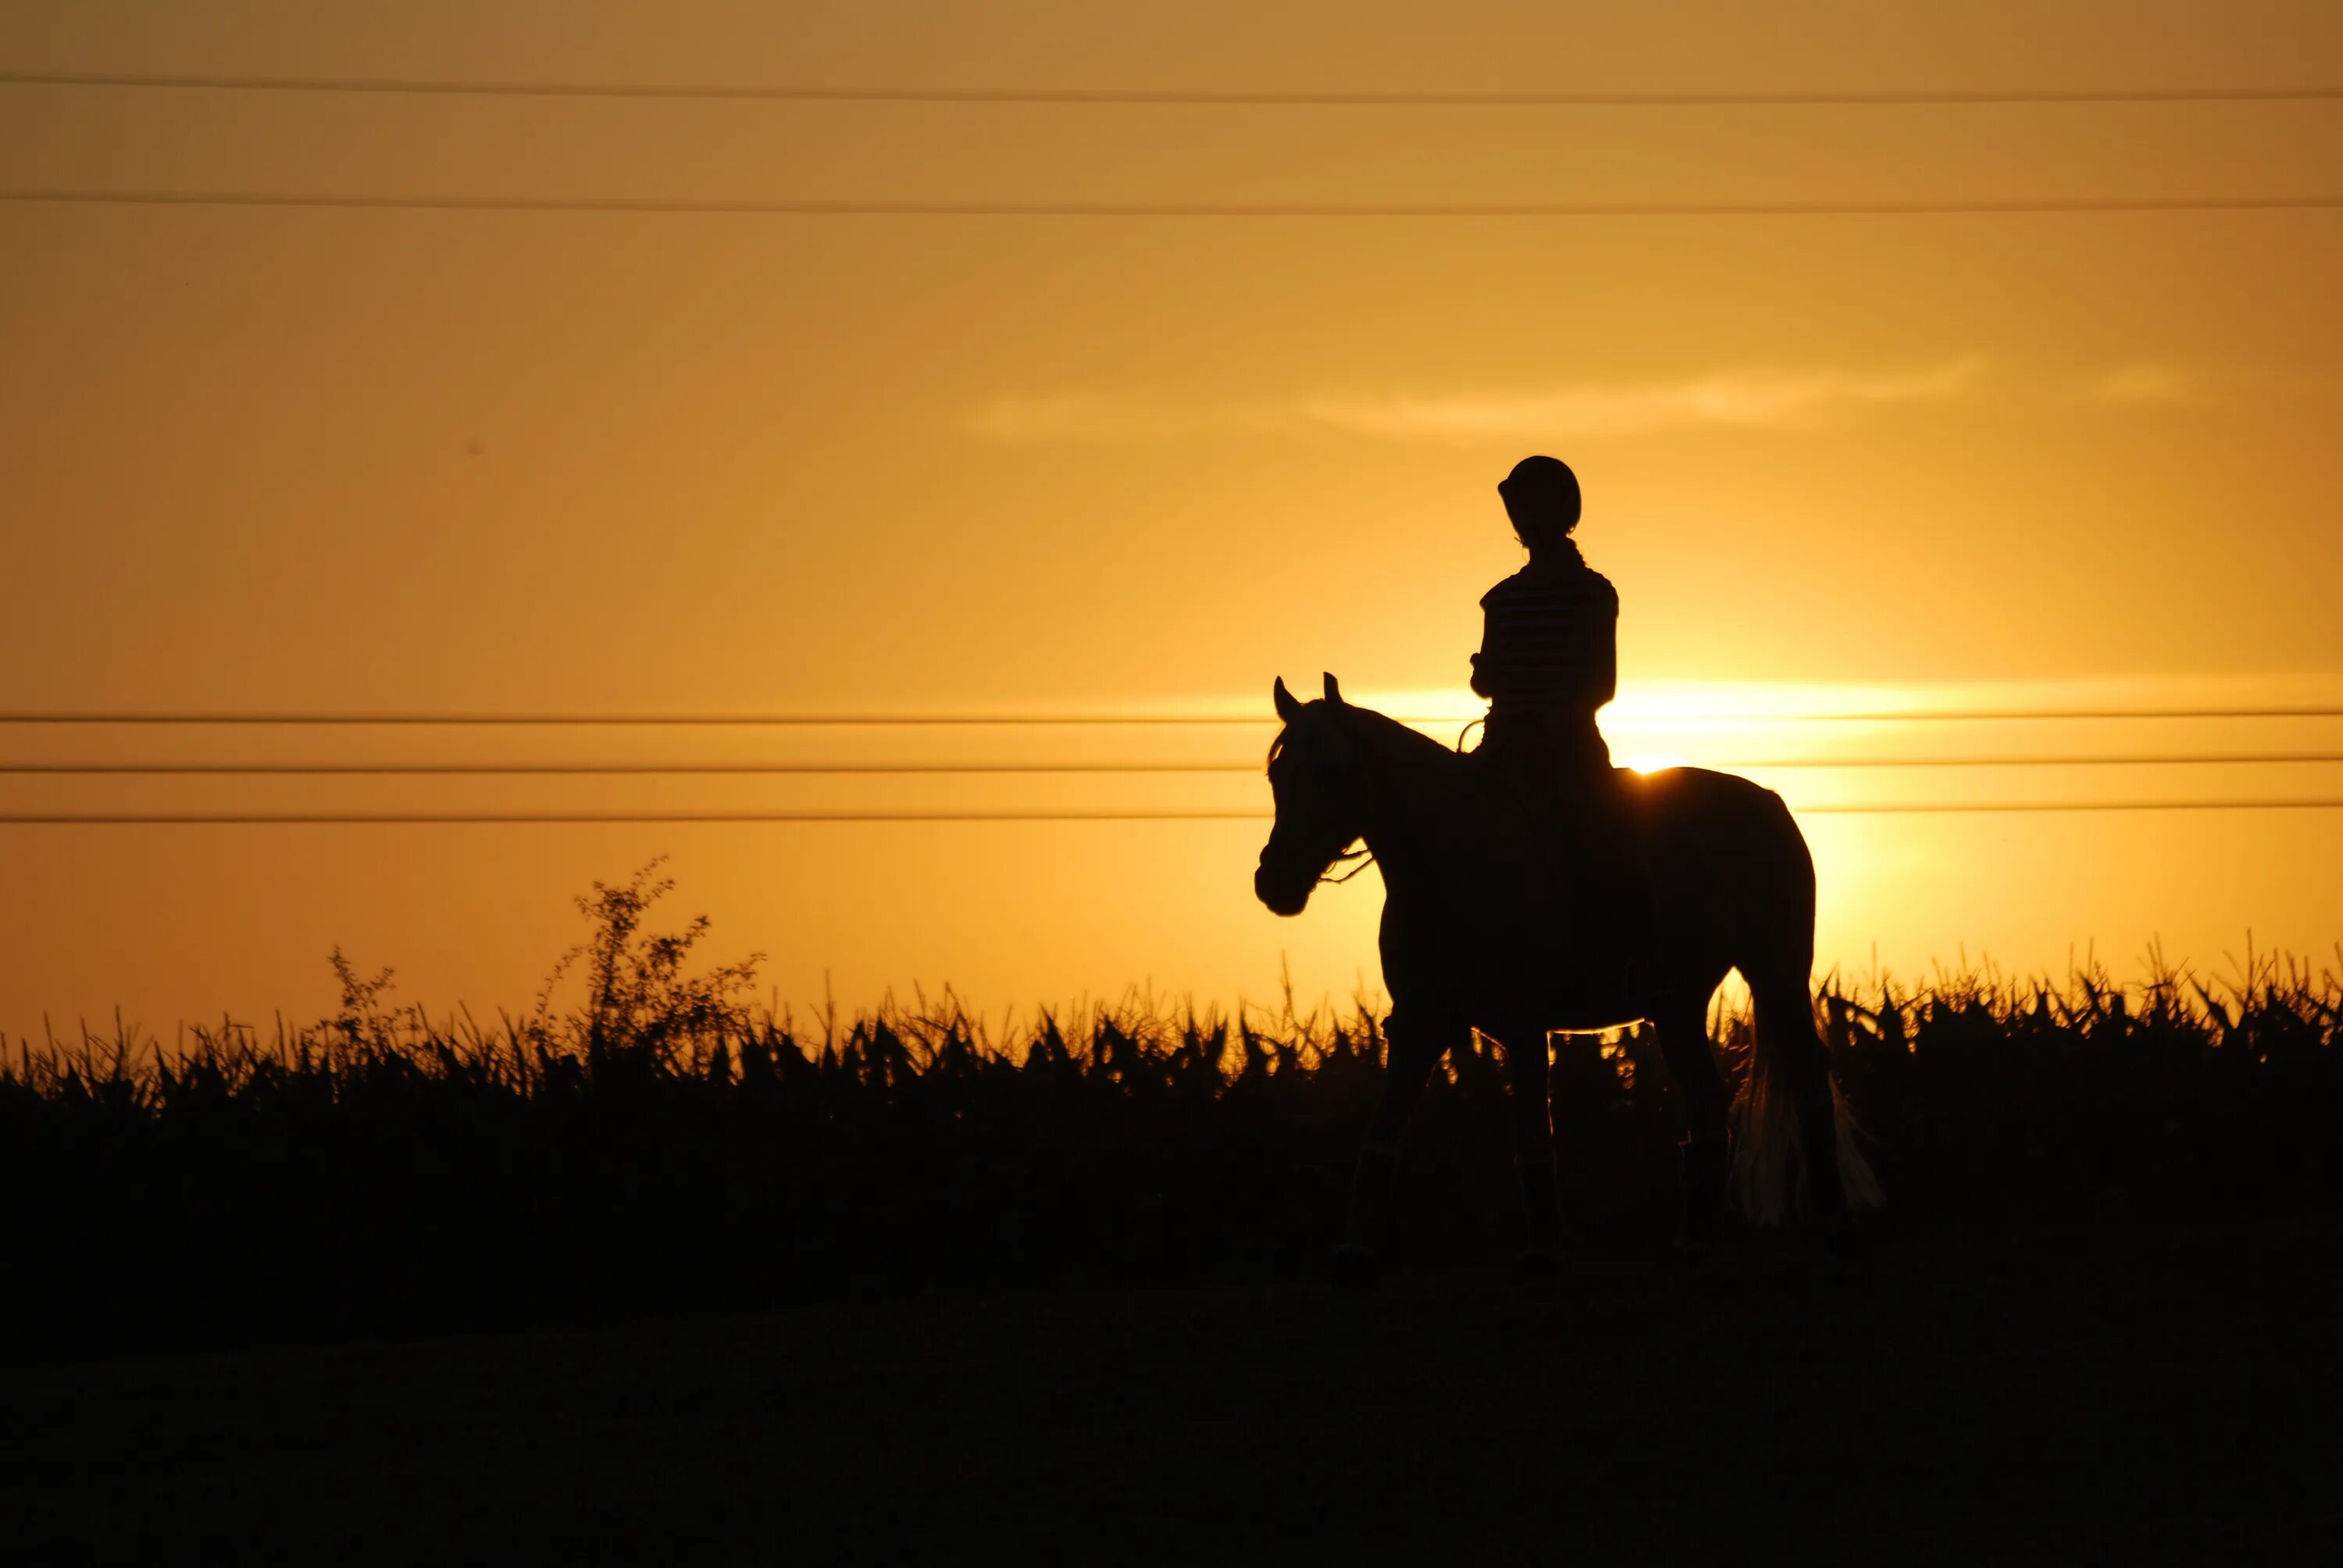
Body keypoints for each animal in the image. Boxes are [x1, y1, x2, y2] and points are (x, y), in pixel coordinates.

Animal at [1256, 675, 1874, 1284]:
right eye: (1277, 774)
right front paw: (1354, 1251)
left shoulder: (1525, 1026)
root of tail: (1768, 802)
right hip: (1678, 1007)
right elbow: (1382, 1129)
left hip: (1778, 975)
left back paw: (1838, 1227)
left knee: (1808, 1083)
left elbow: (1533, 1135)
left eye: (1332, 772)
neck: (1455, 858)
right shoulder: (1419, 1024)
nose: (1275, 882)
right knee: (1707, 1103)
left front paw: (1544, 1254)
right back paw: (1691, 1242)